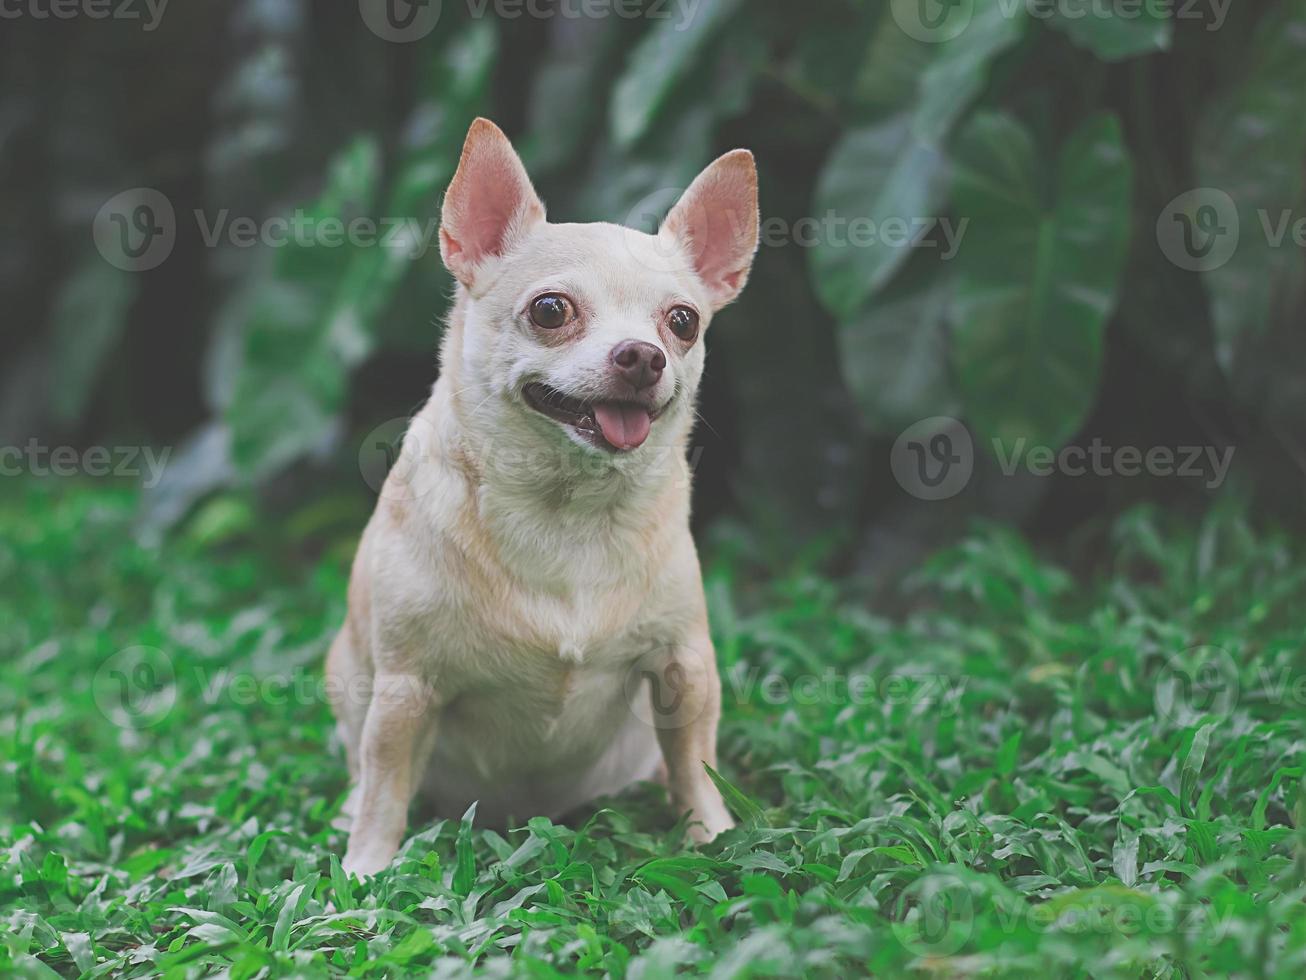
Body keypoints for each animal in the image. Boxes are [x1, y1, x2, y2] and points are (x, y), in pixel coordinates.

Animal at [326, 118, 762, 878]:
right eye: (551, 310)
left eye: (683, 322)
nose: (642, 355)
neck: (568, 509)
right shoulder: (406, 689)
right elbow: (385, 783)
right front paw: (367, 871)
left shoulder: (684, 667)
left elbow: (695, 763)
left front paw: (710, 835)